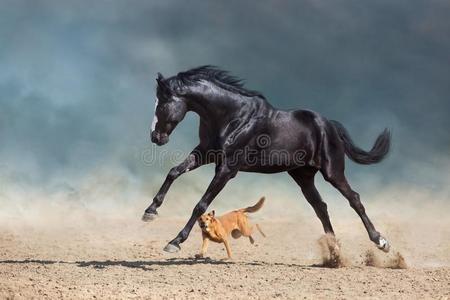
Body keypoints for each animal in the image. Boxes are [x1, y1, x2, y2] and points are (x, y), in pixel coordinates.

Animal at [144, 66, 390, 253]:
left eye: (162, 104)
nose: (155, 137)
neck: (232, 117)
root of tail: (329, 125)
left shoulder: (227, 169)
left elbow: (201, 204)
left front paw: (175, 242)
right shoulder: (205, 153)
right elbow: (174, 171)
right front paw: (150, 212)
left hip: (332, 171)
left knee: (354, 199)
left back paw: (381, 241)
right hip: (303, 176)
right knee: (320, 207)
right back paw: (334, 251)